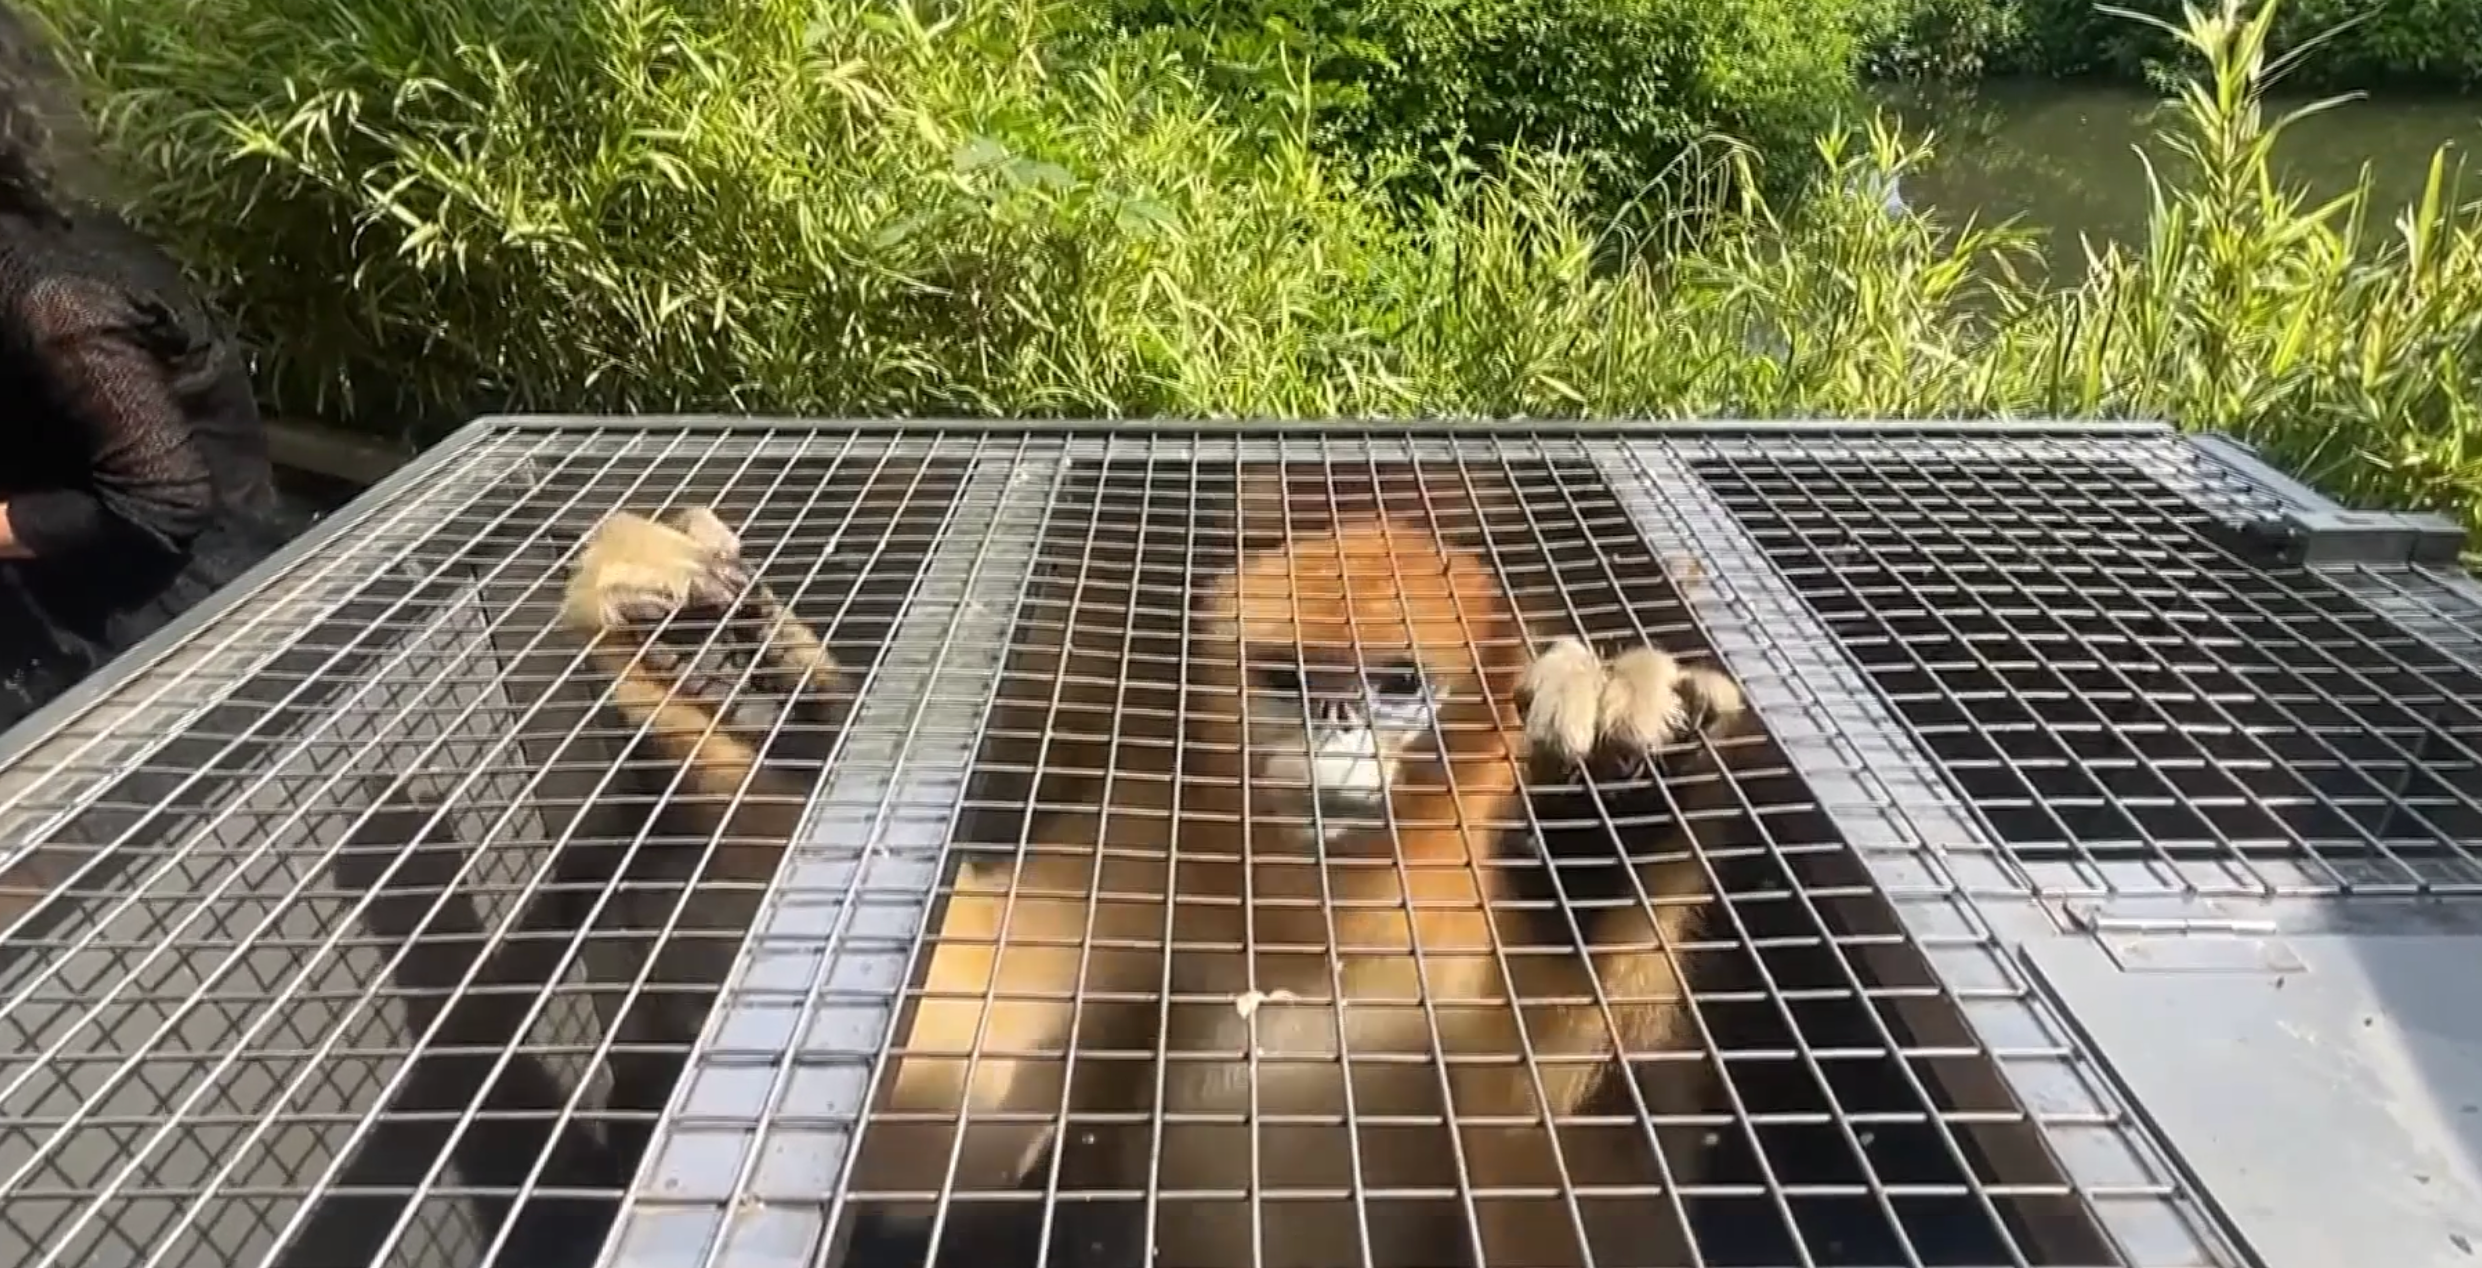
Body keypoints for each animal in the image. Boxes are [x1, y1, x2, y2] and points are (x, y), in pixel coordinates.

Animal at [853, 498, 1751, 1268]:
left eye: (1397, 685)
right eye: (1291, 682)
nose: (1334, 724)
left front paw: (1604, 820)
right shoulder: (1145, 837)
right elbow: (937, 1124)